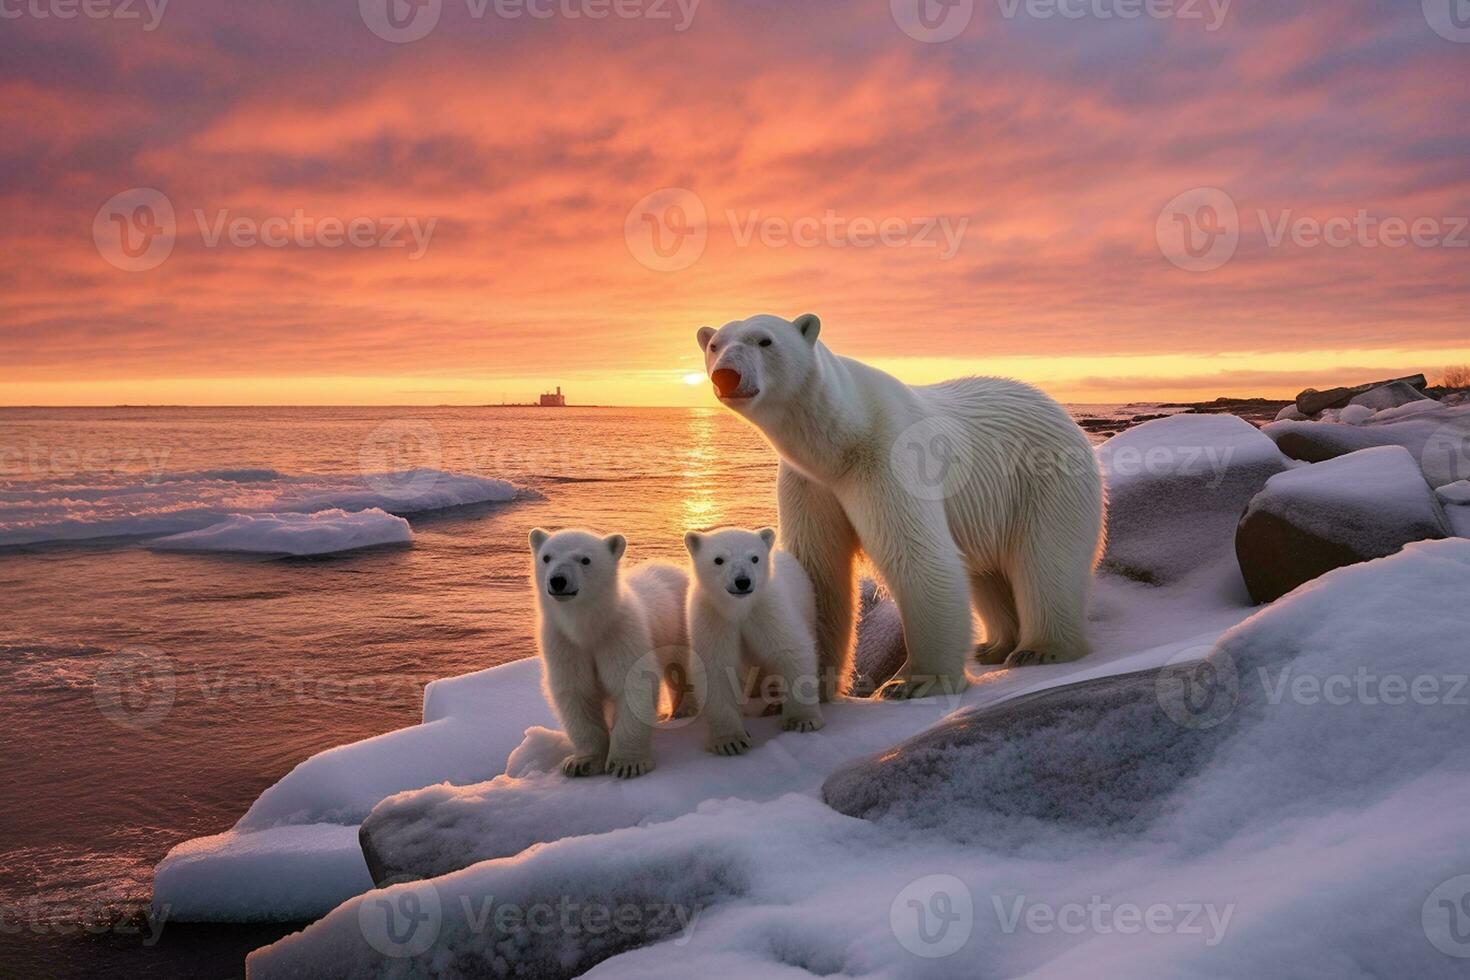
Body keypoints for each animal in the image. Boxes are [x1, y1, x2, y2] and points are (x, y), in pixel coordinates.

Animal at [699, 312, 1105, 696]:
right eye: (715, 345)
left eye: (764, 340)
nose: (726, 376)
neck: (842, 442)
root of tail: (1059, 411)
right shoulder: (809, 484)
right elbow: (819, 570)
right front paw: (802, 684)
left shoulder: (889, 459)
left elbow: (917, 555)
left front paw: (913, 682)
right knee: (986, 573)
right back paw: (996, 645)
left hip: (1044, 479)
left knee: (1046, 559)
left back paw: (1041, 648)